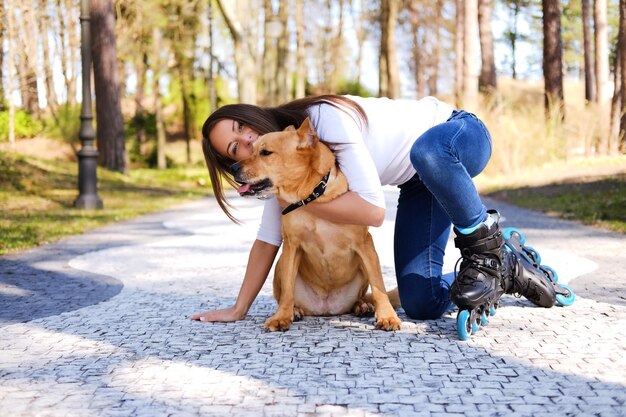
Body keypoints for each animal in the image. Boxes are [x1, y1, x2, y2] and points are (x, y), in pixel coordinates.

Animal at [229, 117, 400, 332]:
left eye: (265, 152)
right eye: (252, 150)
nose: (233, 168)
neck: (312, 197)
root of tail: (326, 309)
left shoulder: (365, 244)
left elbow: (379, 287)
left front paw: (387, 316)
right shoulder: (291, 246)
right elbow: (287, 291)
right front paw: (281, 317)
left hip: (362, 266)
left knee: (362, 296)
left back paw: (362, 305)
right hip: (281, 263)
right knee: (287, 294)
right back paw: (295, 310)